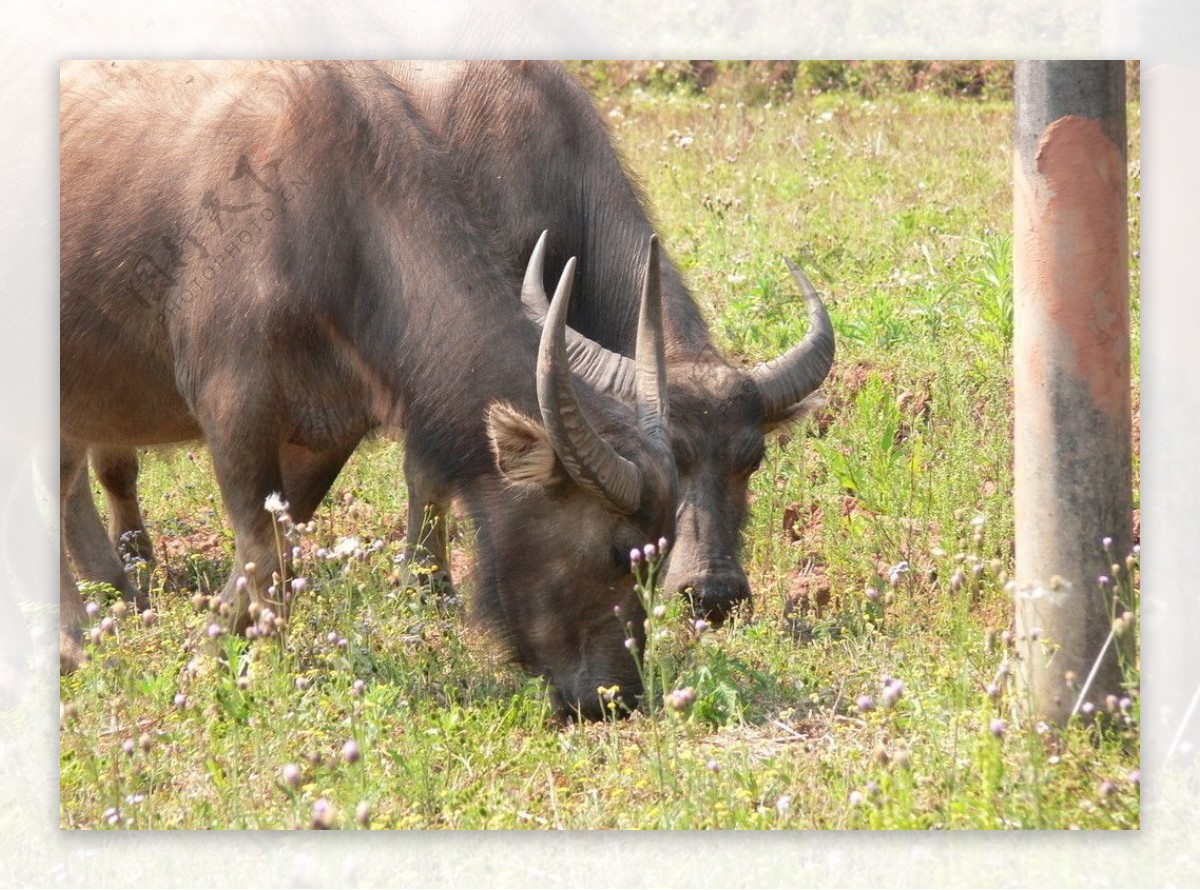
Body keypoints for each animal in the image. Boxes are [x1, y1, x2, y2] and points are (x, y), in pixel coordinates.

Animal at [60, 60, 676, 719]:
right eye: (619, 552)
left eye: (661, 556)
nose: (618, 696)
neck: (332, 226)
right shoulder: (233, 407)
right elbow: (261, 549)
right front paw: (210, 665)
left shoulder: (325, 430)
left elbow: (286, 550)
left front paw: (261, 657)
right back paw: (79, 641)